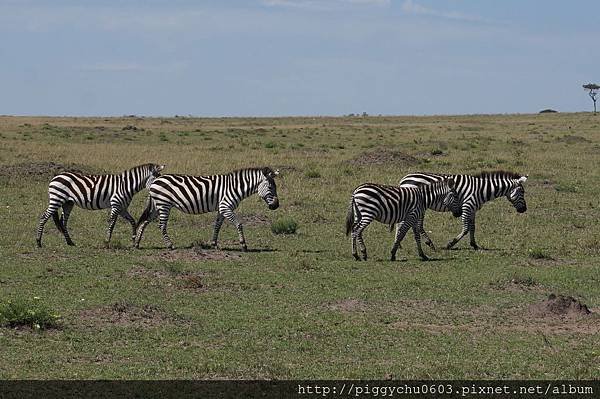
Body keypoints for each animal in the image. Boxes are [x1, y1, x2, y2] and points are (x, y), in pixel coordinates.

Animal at [135, 167, 280, 252]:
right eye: (270, 187)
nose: (276, 206)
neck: (235, 187)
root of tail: (155, 180)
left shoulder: (221, 209)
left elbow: (217, 226)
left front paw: (214, 244)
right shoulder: (225, 206)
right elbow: (239, 224)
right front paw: (243, 245)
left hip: (157, 206)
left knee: (145, 222)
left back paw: (137, 243)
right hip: (164, 204)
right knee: (161, 225)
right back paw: (170, 245)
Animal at [400, 171, 528, 250]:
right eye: (522, 192)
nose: (524, 210)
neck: (481, 190)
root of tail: (404, 179)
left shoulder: (473, 209)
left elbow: (472, 227)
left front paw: (474, 244)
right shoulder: (467, 206)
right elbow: (466, 229)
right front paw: (450, 244)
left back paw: (401, 244)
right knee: (418, 225)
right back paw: (429, 243)